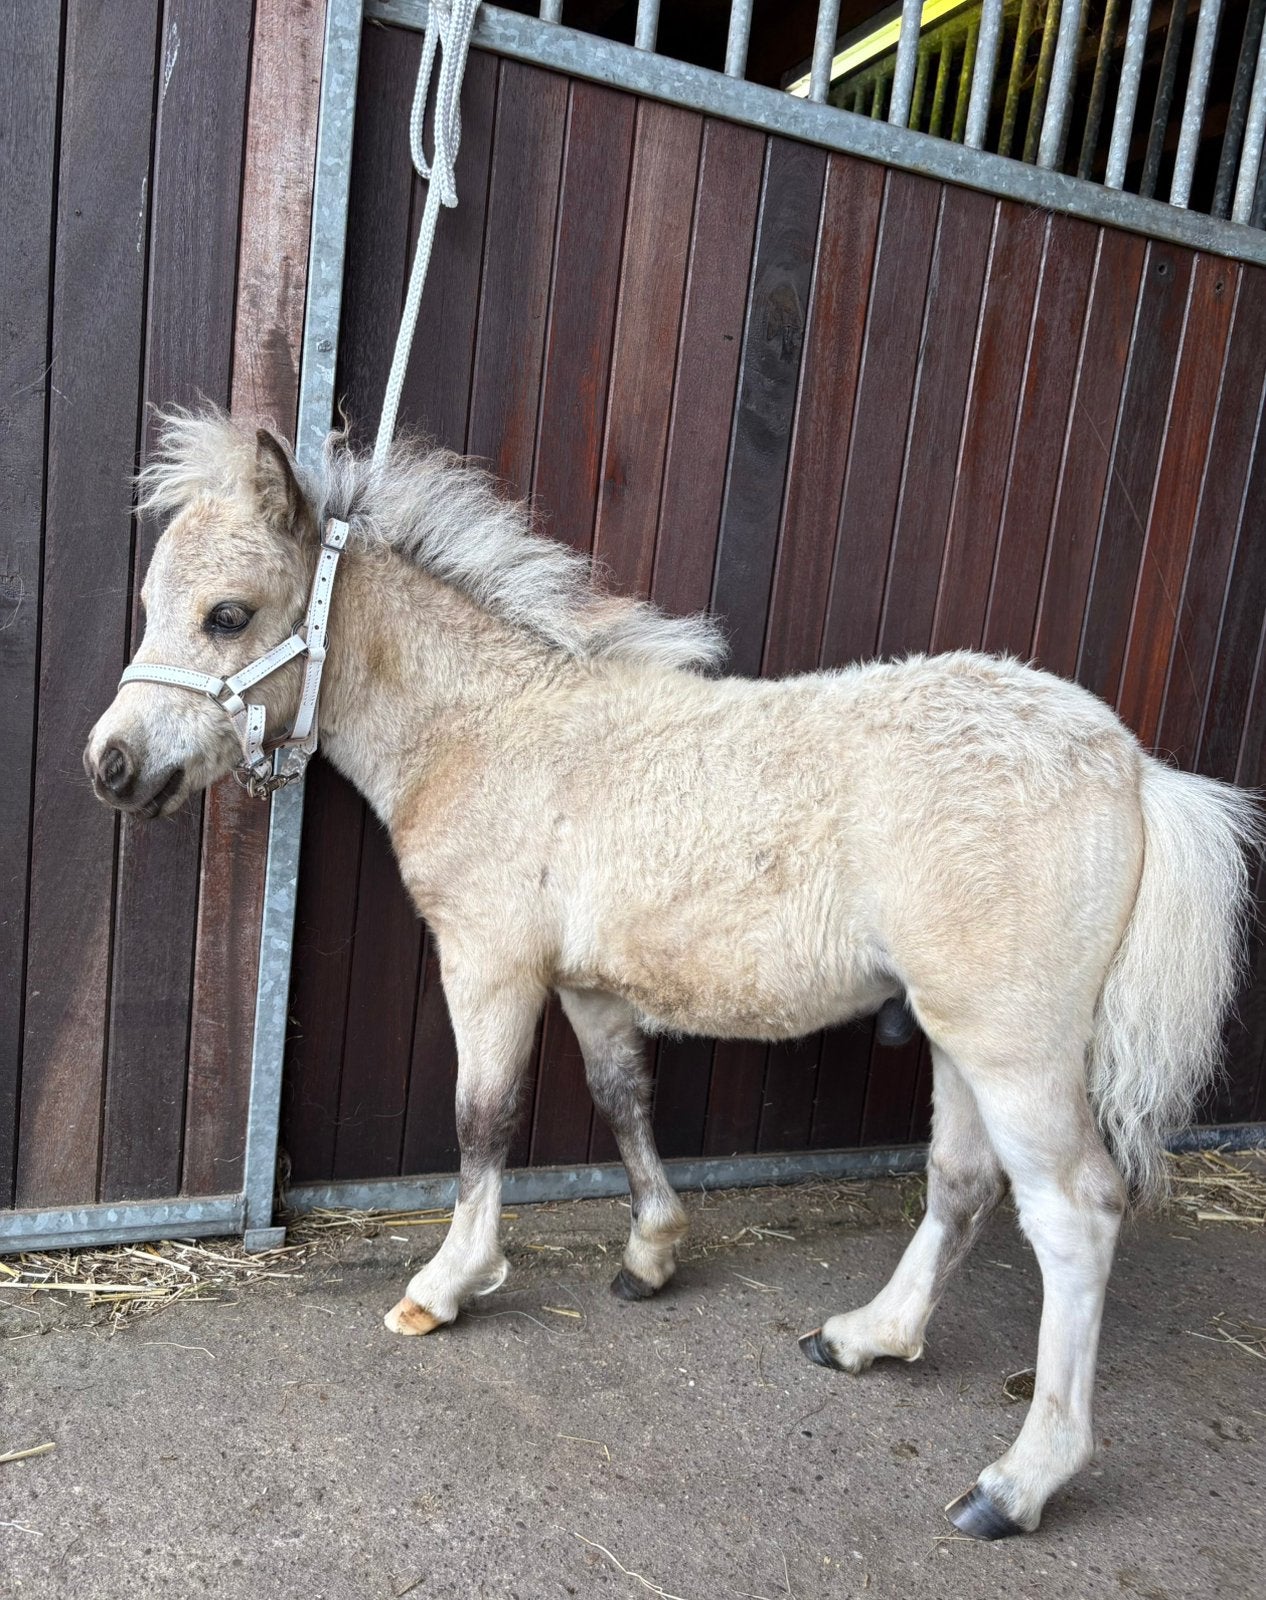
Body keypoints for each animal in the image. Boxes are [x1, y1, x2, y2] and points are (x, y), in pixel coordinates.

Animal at [86, 407, 1259, 1539]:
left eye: (227, 615)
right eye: (146, 604)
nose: (111, 765)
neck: (490, 728)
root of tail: (1133, 770)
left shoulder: (491, 963)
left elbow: (483, 1119)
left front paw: (448, 1284)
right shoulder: (590, 986)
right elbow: (624, 1100)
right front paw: (651, 1255)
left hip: (1014, 1046)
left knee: (1075, 1214)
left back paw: (1017, 1483)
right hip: (958, 1037)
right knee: (963, 1185)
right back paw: (867, 1337)